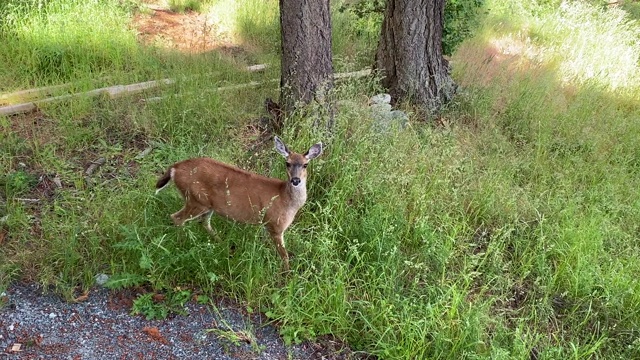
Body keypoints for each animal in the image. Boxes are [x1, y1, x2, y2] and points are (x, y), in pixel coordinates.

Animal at [154, 136, 322, 272]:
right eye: (287, 163)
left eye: (305, 165)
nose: (295, 180)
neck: (286, 199)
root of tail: (174, 168)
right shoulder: (276, 225)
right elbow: (284, 255)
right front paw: (287, 274)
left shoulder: (266, 224)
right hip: (195, 199)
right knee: (177, 218)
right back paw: (182, 244)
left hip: (206, 204)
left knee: (203, 222)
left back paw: (223, 244)